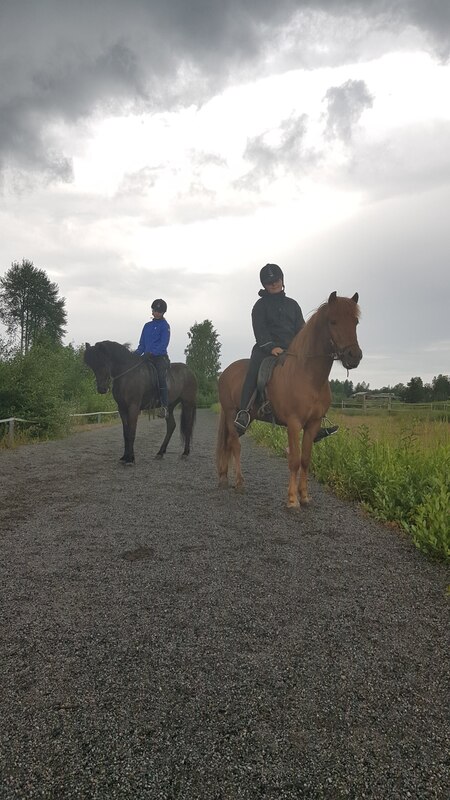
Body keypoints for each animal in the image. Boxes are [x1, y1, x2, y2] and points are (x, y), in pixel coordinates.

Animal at [216, 292, 362, 508]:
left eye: (355, 322)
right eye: (333, 321)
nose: (354, 356)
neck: (307, 375)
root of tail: (225, 372)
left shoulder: (312, 425)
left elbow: (305, 459)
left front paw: (305, 496)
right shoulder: (294, 424)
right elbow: (294, 460)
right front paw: (292, 500)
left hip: (246, 420)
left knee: (228, 444)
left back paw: (224, 478)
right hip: (231, 414)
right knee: (235, 445)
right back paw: (239, 483)